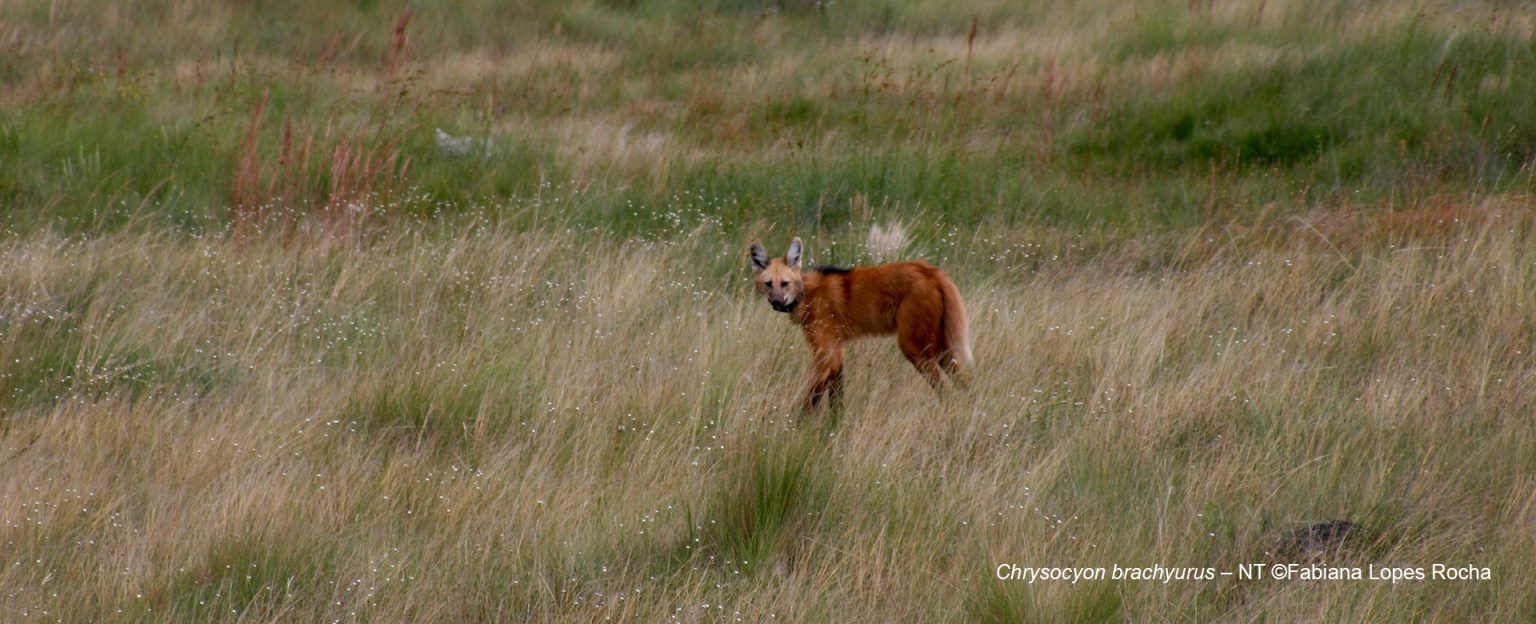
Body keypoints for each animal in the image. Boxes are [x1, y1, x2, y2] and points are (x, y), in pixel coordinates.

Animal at [750, 237, 972, 411]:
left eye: (785, 284)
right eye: (768, 284)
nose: (777, 302)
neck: (806, 294)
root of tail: (932, 272)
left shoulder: (827, 356)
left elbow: (811, 402)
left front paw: (797, 429)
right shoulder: (836, 353)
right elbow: (836, 400)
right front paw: (833, 429)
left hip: (913, 346)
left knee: (945, 389)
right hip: (941, 347)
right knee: (965, 383)